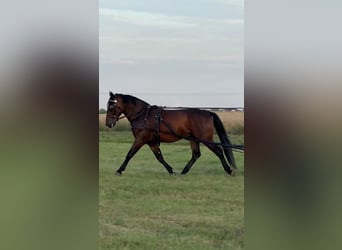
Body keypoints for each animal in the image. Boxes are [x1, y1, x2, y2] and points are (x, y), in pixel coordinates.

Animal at [105, 92, 236, 176]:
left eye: (112, 106)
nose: (108, 123)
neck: (142, 115)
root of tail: (207, 113)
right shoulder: (151, 142)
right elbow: (159, 157)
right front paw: (171, 170)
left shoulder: (141, 138)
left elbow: (130, 154)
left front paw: (119, 170)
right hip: (193, 139)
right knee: (196, 154)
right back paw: (184, 171)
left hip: (205, 138)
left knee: (219, 151)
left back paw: (229, 170)